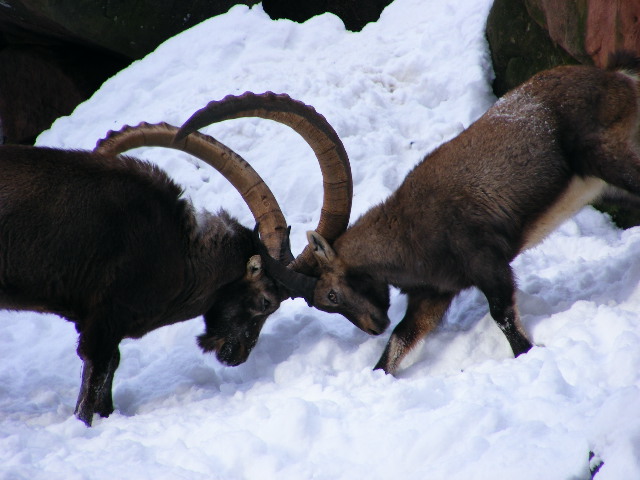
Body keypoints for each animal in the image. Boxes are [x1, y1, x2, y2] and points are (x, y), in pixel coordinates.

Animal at [0, 122, 292, 426]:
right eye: (267, 302)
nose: (238, 355)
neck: (179, 252)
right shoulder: (105, 320)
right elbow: (94, 376)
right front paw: (84, 424)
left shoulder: (99, 321)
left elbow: (110, 366)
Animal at [177, 53, 640, 375]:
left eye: (329, 296)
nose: (372, 326)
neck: (407, 234)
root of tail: (617, 79)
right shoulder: (433, 293)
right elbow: (400, 341)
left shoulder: (486, 262)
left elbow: (503, 317)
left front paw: (529, 356)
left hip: (609, 158)